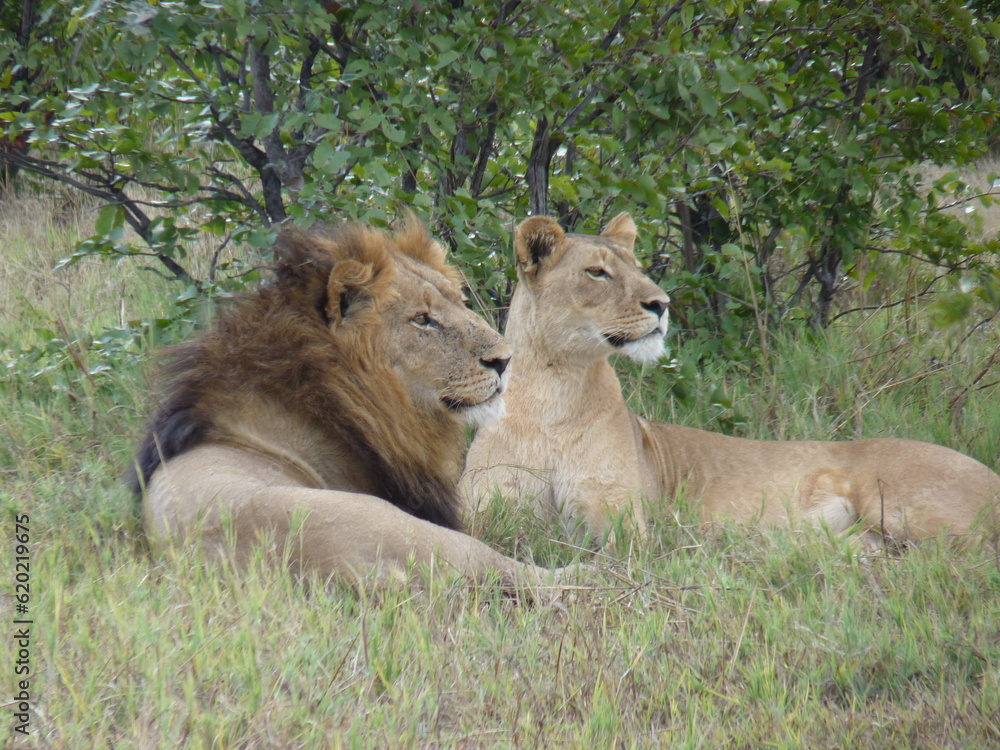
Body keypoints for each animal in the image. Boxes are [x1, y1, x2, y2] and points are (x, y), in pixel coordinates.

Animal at [463, 213, 1000, 546]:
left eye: (638, 269)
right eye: (597, 272)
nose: (662, 304)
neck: (554, 392)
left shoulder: (624, 523)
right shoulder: (484, 510)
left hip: (903, 504)